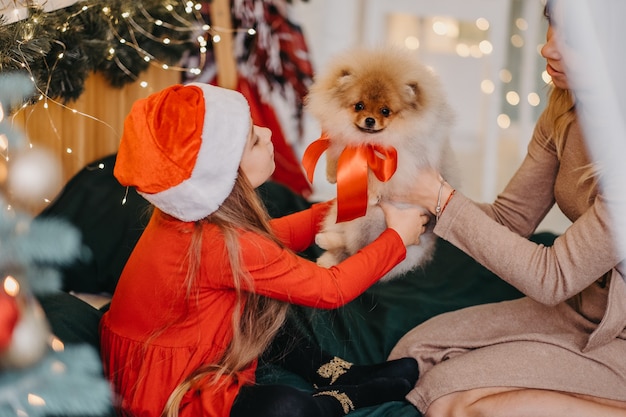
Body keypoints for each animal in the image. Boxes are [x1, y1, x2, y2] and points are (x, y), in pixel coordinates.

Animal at [302, 46, 454, 280]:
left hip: (370, 219)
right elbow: (336, 153)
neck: (368, 141)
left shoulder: (403, 159)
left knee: (354, 247)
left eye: (385, 111)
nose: (370, 120)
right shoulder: (343, 139)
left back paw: (326, 242)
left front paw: (372, 192)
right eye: (359, 106)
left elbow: (377, 176)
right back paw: (326, 252)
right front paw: (332, 174)